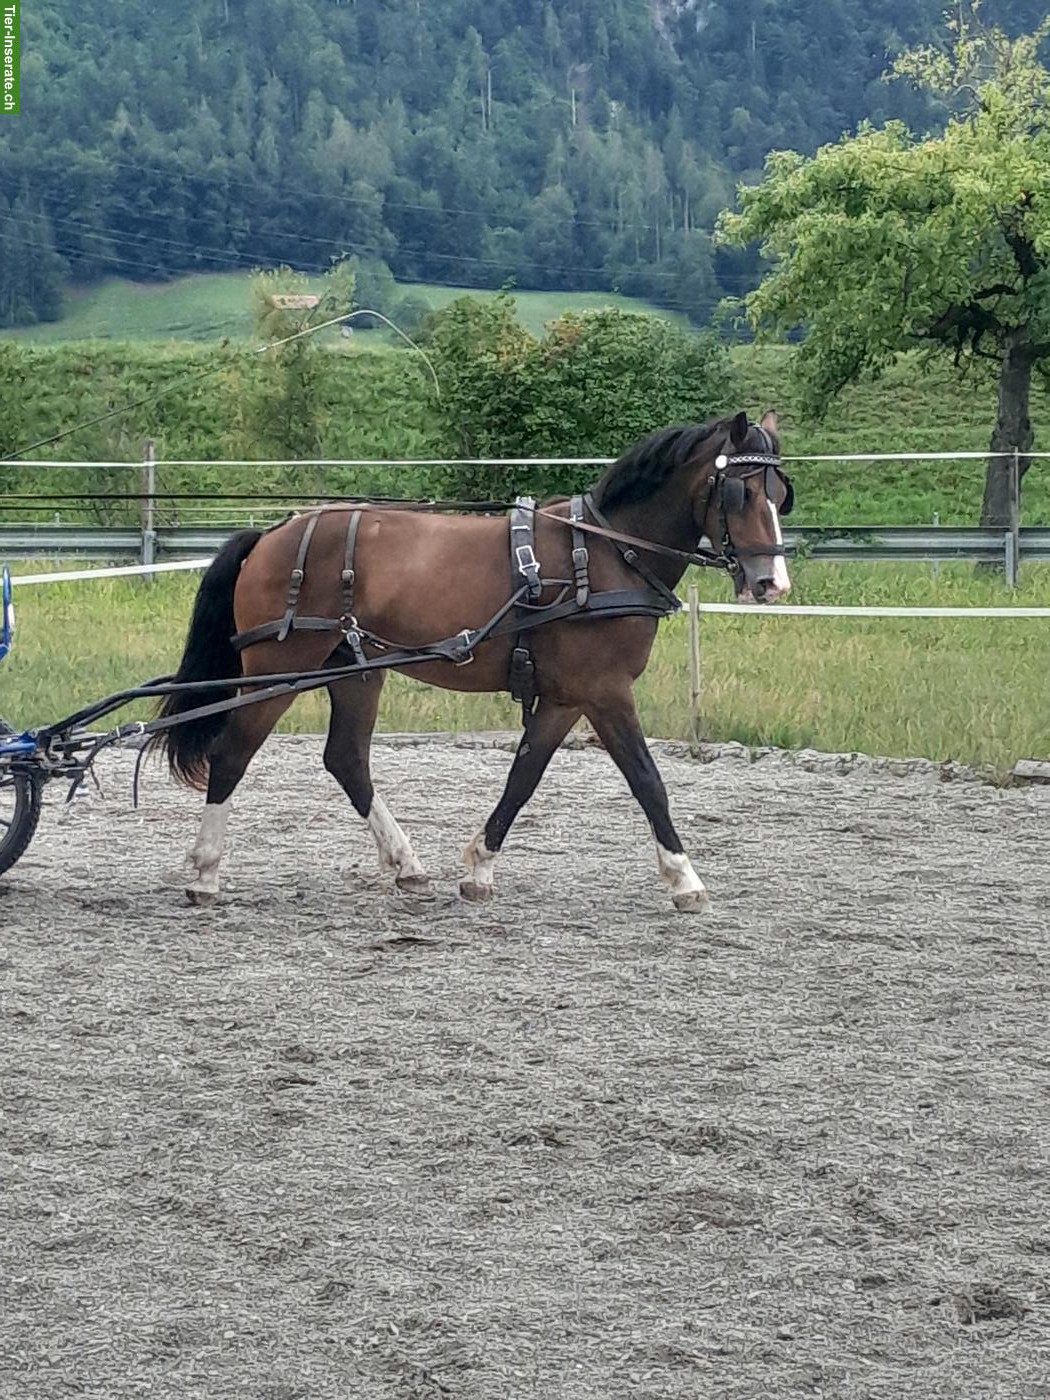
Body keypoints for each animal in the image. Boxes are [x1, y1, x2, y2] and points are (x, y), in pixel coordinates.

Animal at [154, 410, 792, 911]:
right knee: (232, 755)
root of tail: (271, 535)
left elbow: (524, 776)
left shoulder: (566, 696)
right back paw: (206, 873)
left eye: (779, 494)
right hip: (279, 669)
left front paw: (480, 868)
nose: (771, 583)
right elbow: (647, 780)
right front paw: (684, 878)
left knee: (346, 761)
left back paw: (407, 865)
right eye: (740, 493)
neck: (606, 554)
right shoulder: (605, 691)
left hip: (355, 671)